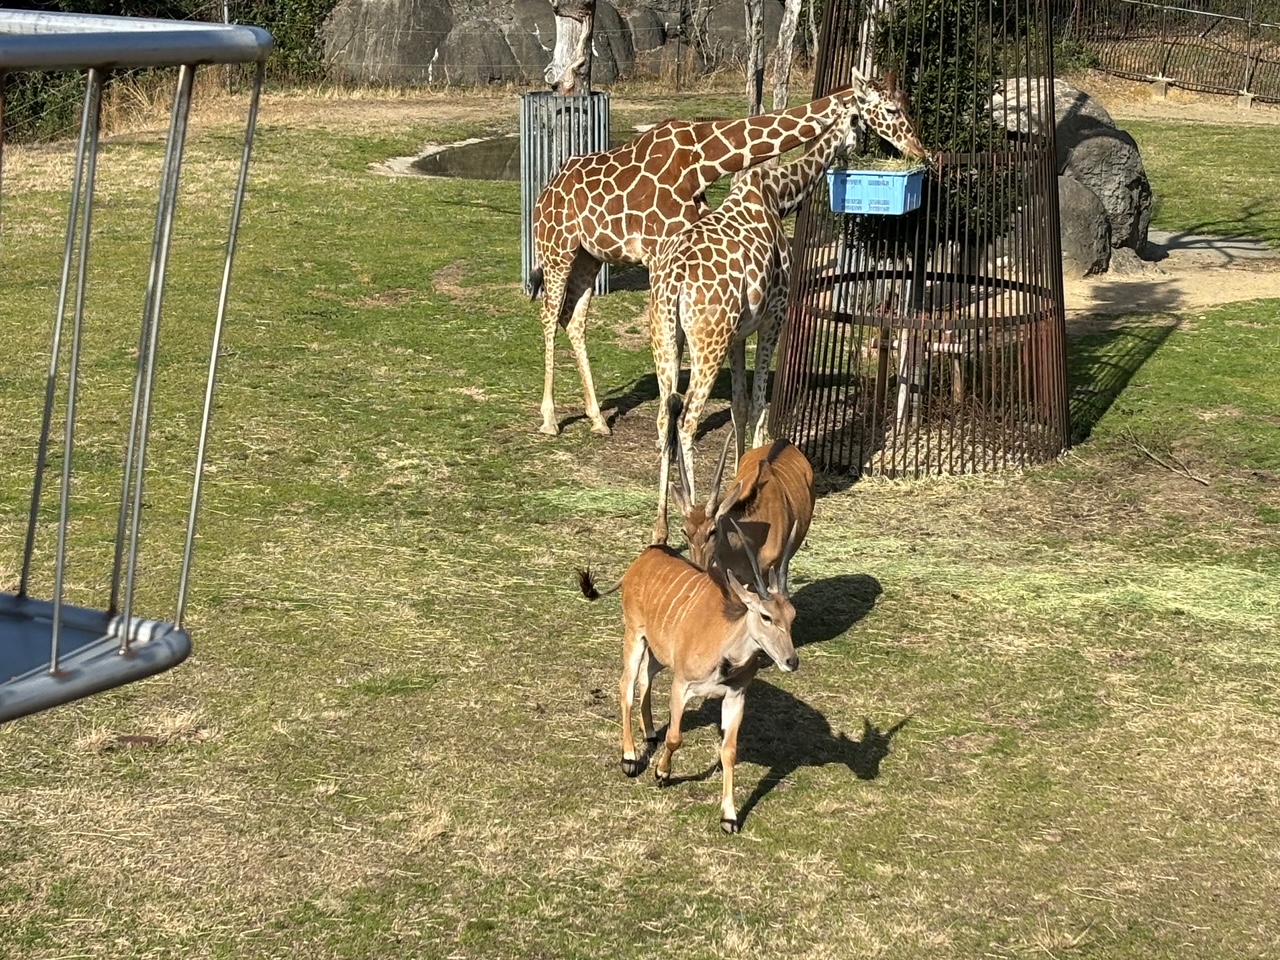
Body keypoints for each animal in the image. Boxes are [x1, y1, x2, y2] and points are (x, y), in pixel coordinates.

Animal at [524, 69, 926, 437]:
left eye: (907, 104)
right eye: (891, 109)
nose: (919, 150)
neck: (704, 161)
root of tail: (545, 192)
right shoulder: (659, 252)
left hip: (589, 257)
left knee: (573, 319)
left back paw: (597, 419)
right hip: (556, 250)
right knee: (549, 315)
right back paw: (549, 420)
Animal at [581, 519, 798, 834]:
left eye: (793, 616)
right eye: (766, 616)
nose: (791, 660)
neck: (724, 651)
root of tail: (646, 555)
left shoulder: (736, 696)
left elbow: (729, 752)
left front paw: (729, 817)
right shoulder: (681, 684)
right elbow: (674, 737)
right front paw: (661, 773)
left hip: (659, 652)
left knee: (646, 676)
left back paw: (649, 733)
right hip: (634, 634)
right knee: (627, 686)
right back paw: (630, 758)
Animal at [650, 80, 931, 545]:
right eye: (891, 109)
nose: (920, 149)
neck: (780, 195)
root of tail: (673, 285)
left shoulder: (739, 333)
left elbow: (740, 405)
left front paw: (740, 481)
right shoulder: (774, 316)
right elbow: (761, 403)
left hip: (666, 337)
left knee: (663, 418)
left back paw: (660, 525)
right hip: (707, 341)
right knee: (687, 421)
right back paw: (693, 511)